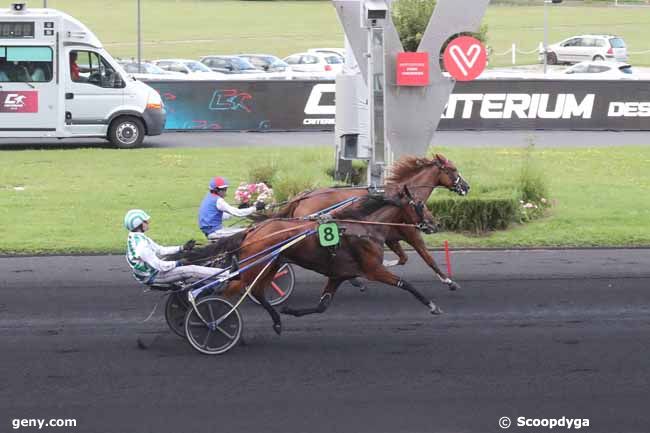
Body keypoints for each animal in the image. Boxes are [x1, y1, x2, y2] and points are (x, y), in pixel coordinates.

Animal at [187, 184, 440, 332]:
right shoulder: (373, 269)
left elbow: (322, 306)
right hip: (259, 265)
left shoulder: (339, 274)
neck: (363, 227)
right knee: (235, 289)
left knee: (247, 290)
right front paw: (433, 306)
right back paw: (213, 318)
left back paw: (272, 320)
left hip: (270, 265)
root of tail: (253, 231)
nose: (435, 223)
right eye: (420, 204)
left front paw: (292, 311)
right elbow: (406, 284)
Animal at [256, 152, 466, 290]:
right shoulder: (411, 232)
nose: (466, 186)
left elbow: (403, 258)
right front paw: (449, 281)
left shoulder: (391, 236)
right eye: (453, 169)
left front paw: (384, 264)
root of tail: (303, 196)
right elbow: (428, 258)